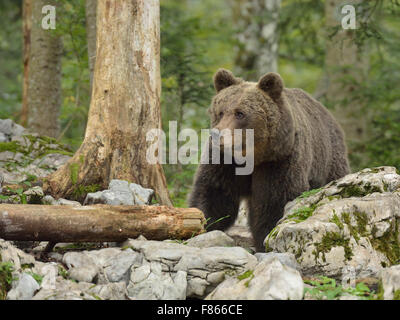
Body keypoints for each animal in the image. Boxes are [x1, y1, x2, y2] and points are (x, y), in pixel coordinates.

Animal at [188, 69, 350, 251]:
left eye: (240, 113)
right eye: (220, 111)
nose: (217, 134)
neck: (252, 157)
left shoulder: (279, 161)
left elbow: (274, 202)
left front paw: (266, 241)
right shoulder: (224, 162)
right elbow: (215, 193)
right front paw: (202, 225)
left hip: (329, 159)